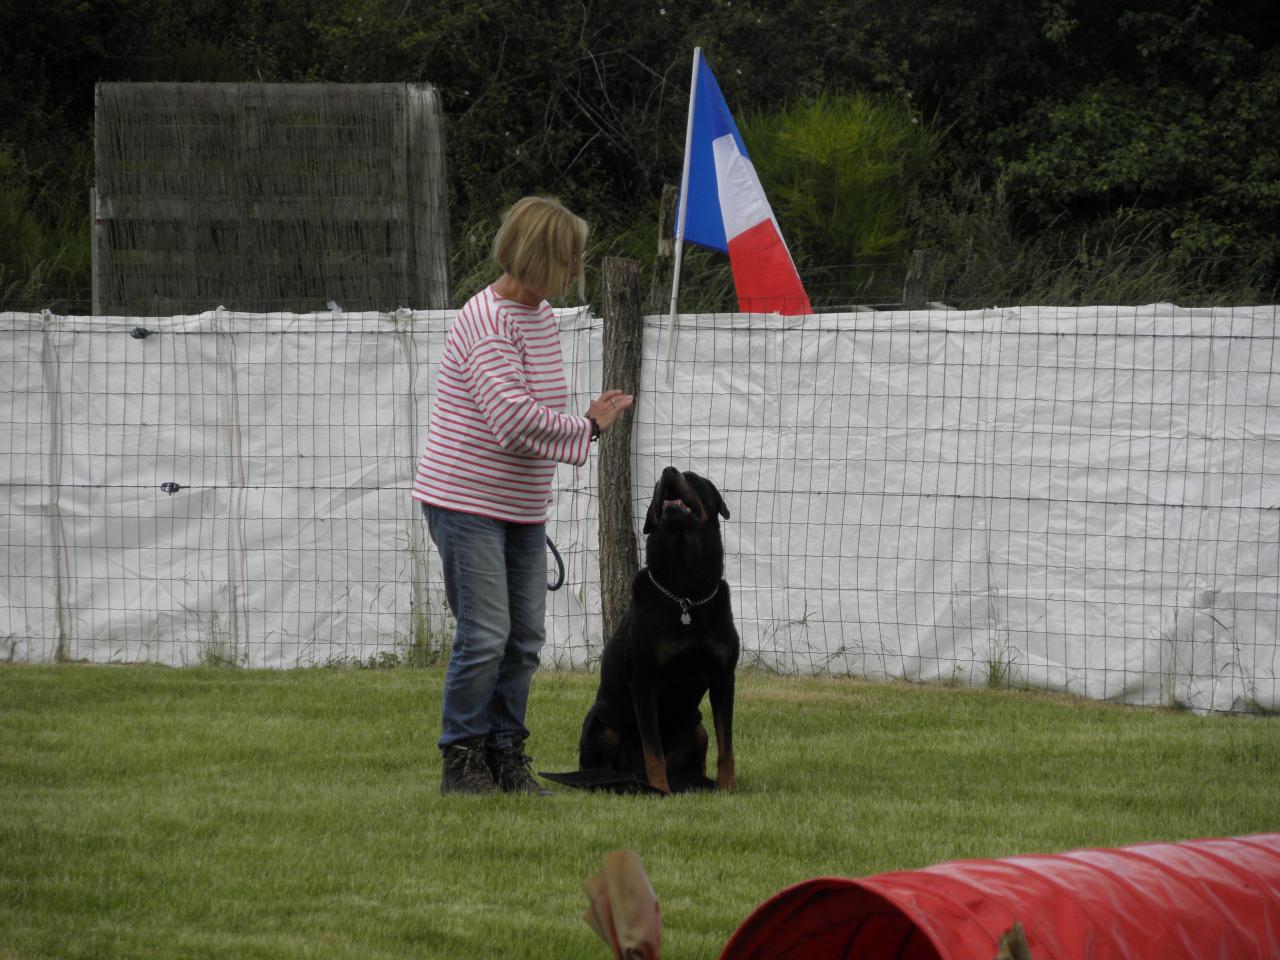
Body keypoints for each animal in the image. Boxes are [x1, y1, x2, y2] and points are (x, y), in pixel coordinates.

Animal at [573, 468, 737, 798]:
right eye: (659, 484)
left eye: (693, 477)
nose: (667, 471)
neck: (686, 590)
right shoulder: (643, 679)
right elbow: (653, 750)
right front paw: (660, 790)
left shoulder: (724, 677)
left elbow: (726, 746)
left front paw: (728, 788)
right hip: (601, 722)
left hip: (697, 729)